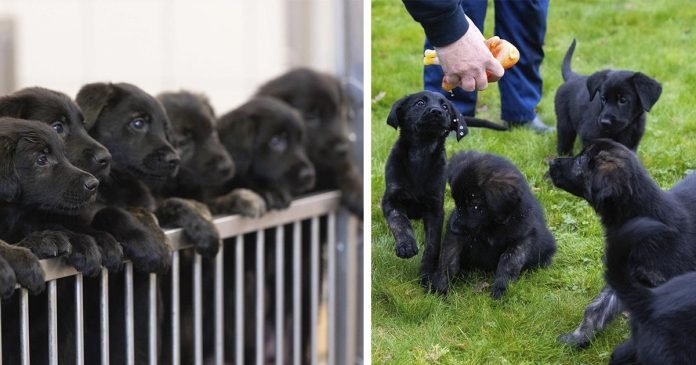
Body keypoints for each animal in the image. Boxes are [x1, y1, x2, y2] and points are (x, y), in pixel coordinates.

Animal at [256, 68, 364, 216]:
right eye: (311, 115)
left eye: (338, 112)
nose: (343, 150)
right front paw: (269, 191)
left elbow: (346, 170)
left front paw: (358, 194)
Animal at [380, 90, 506, 284]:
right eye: (419, 103)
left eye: (445, 106)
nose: (437, 112)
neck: (421, 152)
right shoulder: (391, 200)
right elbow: (399, 221)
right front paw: (406, 245)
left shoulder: (435, 210)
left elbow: (432, 246)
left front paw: (426, 274)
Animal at [432, 150, 556, 296]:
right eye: (456, 202)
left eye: (475, 204)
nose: (453, 227)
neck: (492, 225)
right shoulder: (457, 236)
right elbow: (449, 257)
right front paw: (440, 286)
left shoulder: (523, 237)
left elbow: (509, 261)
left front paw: (501, 287)